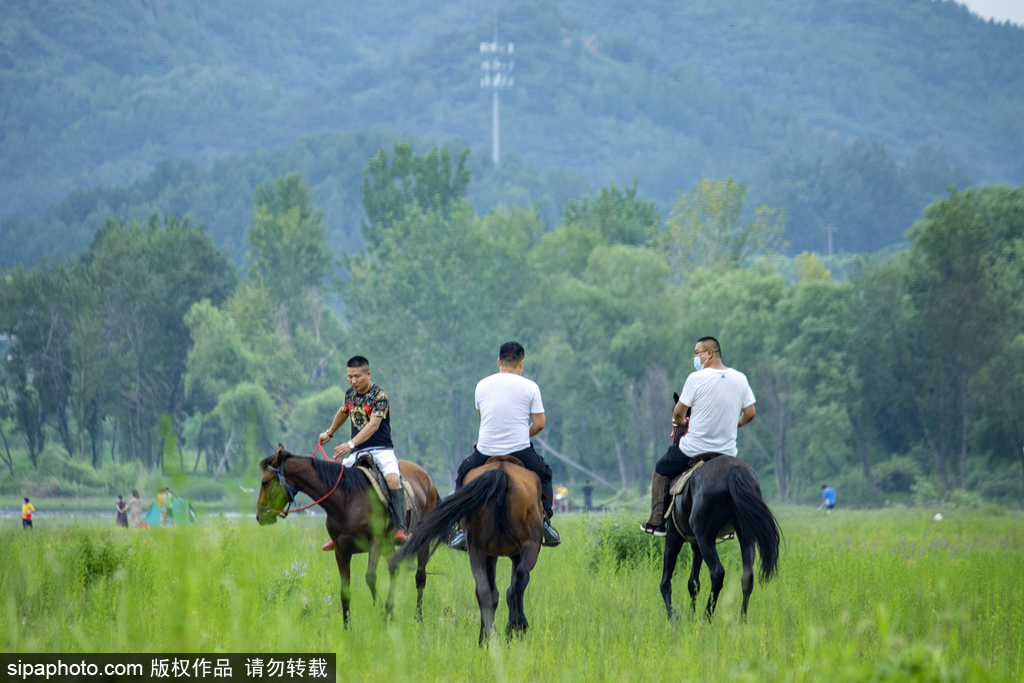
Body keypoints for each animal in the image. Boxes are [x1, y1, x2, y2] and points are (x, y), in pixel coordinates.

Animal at [258, 446, 438, 626]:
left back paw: (418, 618)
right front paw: (347, 626)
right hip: (388, 545)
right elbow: (345, 590)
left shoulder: (376, 543)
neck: (347, 500)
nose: (260, 516)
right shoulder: (341, 549)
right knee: (394, 567)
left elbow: (370, 577)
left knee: (420, 576)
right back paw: (390, 613)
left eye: (265, 482)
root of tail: (428, 480)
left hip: (419, 539)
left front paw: (379, 609)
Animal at [395, 458, 548, 647]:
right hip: (528, 545)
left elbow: (493, 591)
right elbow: (511, 586)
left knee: (484, 590)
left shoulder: (491, 553)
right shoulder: (514, 552)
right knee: (518, 581)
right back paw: (516, 627)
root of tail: (501, 472)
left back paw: (486, 638)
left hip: (477, 548)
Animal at [659, 456, 778, 622]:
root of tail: (734, 470)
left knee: (717, 573)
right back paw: (742, 620)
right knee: (747, 576)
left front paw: (674, 616)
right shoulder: (695, 543)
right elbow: (693, 583)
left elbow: (666, 581)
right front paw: (691, 616)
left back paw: (706, 617)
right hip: (745, 535)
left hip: (705, 536)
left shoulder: (674, 536)